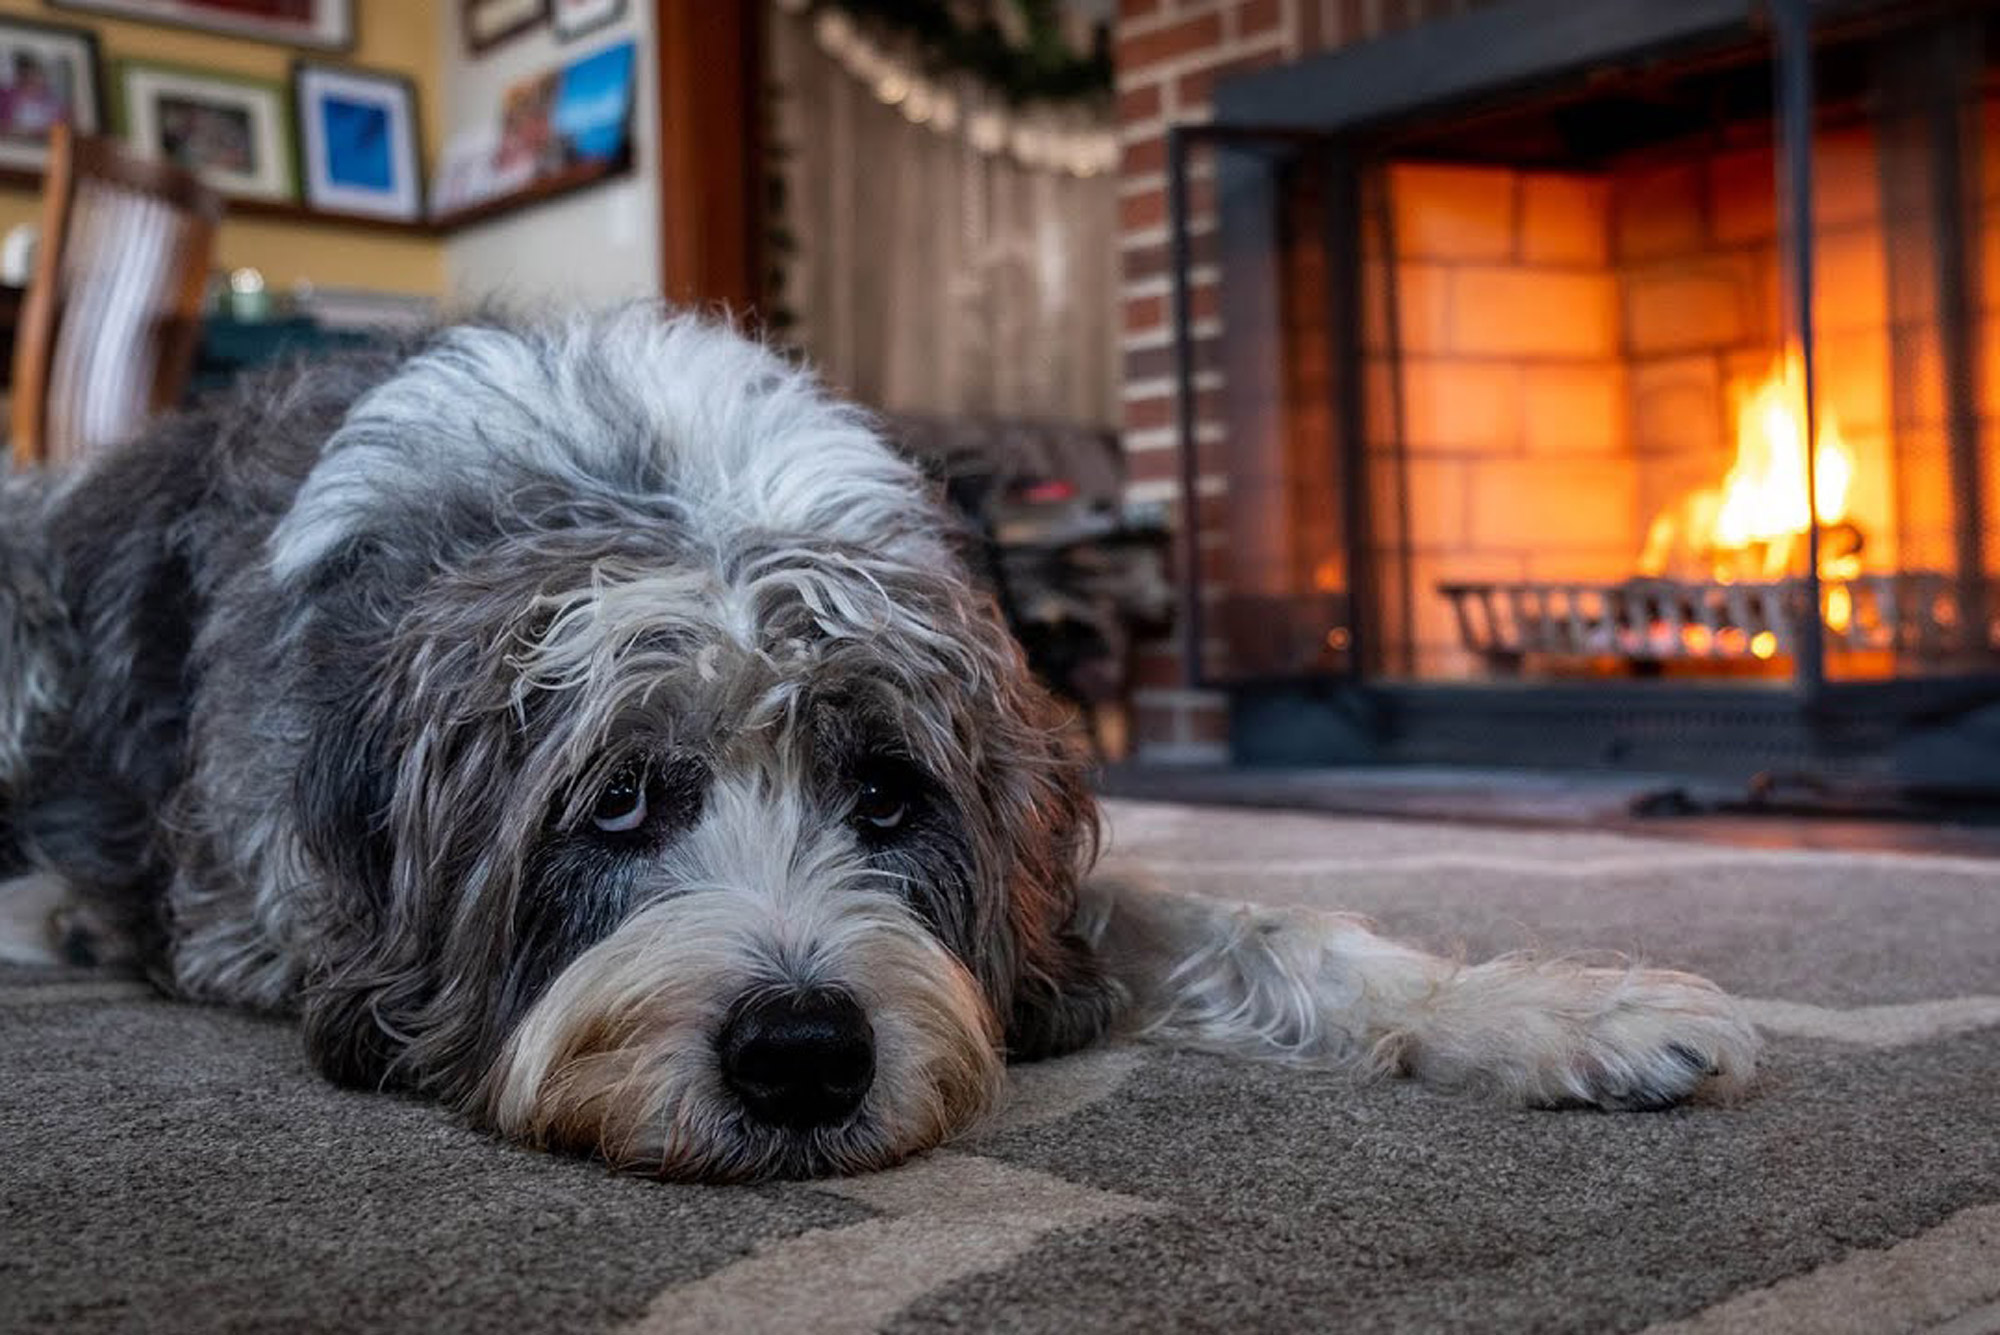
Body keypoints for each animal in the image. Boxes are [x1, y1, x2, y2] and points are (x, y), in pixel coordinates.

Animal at [0, 309, 1752, 1175]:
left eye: (890, 796)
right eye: (616, 803)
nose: (800, 1055)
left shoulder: (1029, 909)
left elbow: (1276, 928)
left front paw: (1562, 1009)